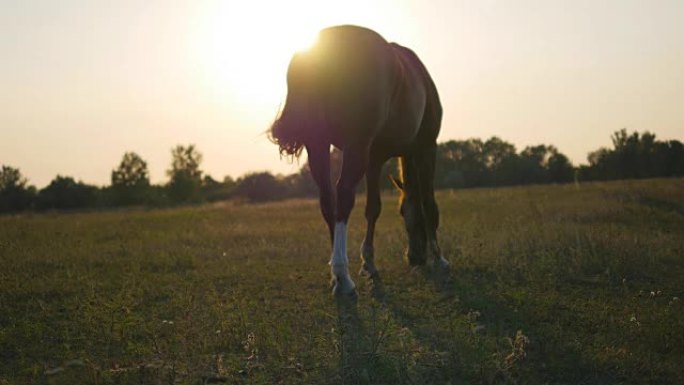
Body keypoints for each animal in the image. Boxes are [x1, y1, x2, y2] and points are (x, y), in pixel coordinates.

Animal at [270, 25, 452, 296]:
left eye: (400, 211)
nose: (415, 257)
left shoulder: (374, 158)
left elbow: (373, 208)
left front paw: (368, 262)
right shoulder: (427, 147)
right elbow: (429, 204)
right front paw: (439, 258)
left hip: (319, 144)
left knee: (328, 199)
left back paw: (336, 272)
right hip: (356, 146)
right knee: (343, 194)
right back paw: (342, 276)